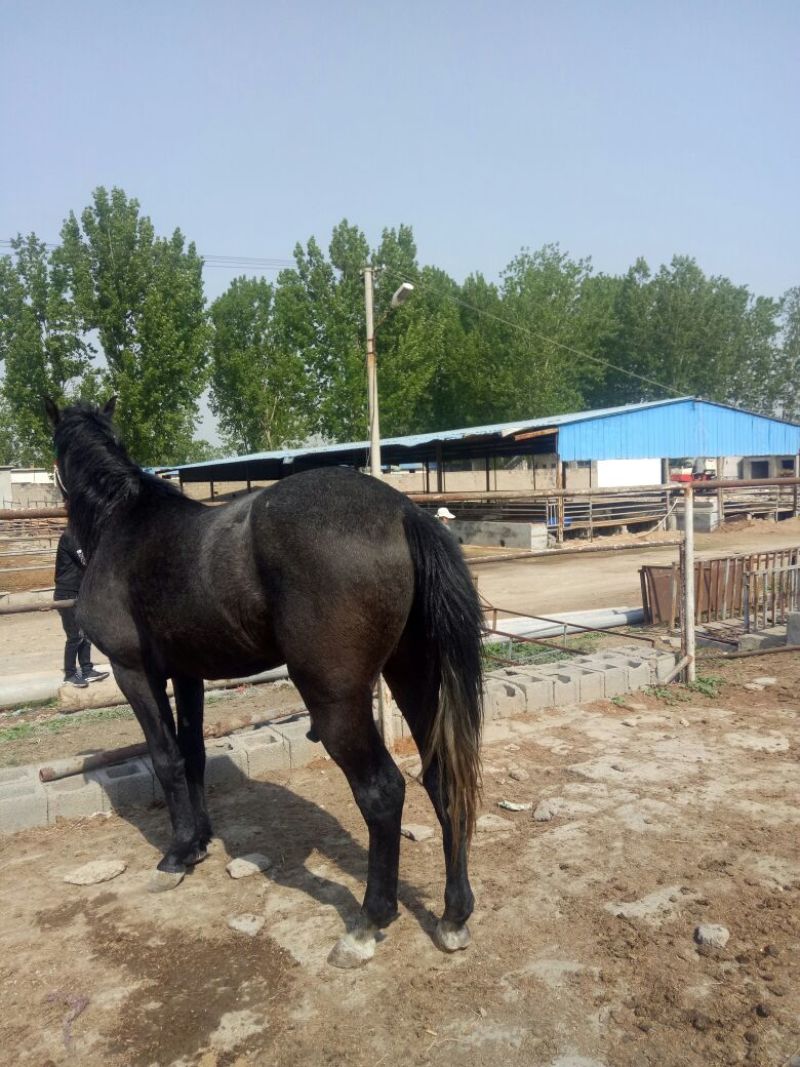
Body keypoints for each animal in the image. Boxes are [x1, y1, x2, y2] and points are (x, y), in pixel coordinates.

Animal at [46, 398, 484, 968]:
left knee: (383, 792)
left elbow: (166, 758)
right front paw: (199, 842)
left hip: (335, 701)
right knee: (440, 777)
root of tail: (402, 512)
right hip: (413, 675)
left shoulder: (133, 672)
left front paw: (176, 855)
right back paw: (454, 916)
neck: (124, 524)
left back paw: (367, 924)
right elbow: (193, 754)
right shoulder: (188, 674)